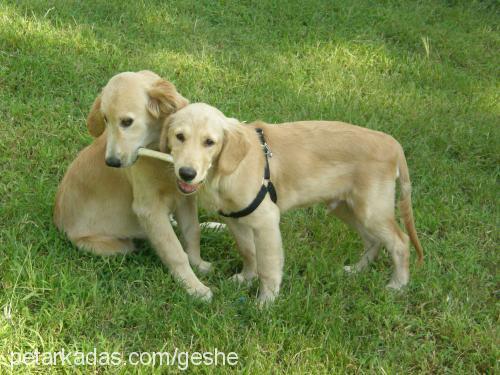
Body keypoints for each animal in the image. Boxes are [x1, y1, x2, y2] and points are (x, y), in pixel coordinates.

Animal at [53, 71, 213, 302]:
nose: (111, 162)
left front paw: (198, 265)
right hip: (117, 246)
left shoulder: (184, 198)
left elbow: (193, 232)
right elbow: (174, 249)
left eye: (127, 122)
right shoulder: (149, 209)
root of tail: (58, 223)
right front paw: (194, 287)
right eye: (105, 119)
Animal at [159, 103, 422, 306]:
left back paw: (397, 285)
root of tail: (392, 143)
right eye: (179, 137)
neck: (225, 172)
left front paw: (266, 301)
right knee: (373, 240)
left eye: (209, 142)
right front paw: (246, 278)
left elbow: (268, 266)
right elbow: (248, 252)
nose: (186, 173)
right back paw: (357, 270)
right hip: (346, 207)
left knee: (400, 242)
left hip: (371, 210)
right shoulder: (236, 220)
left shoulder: (266, 220)